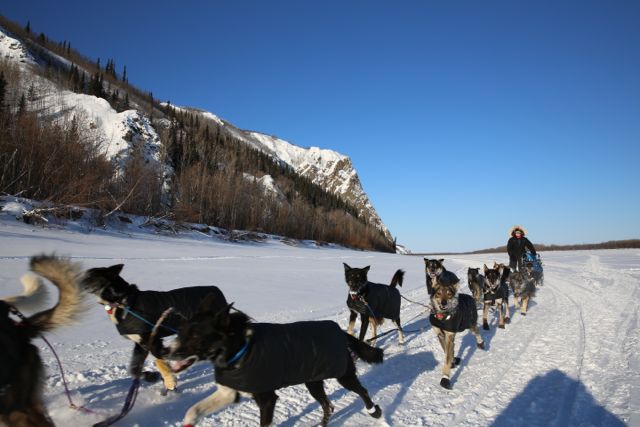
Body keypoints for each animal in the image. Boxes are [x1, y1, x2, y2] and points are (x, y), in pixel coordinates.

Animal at [79, 264, 226, 394]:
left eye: (90, 276)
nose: (77, 281)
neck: (122, 301)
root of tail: (217, 290)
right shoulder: (140, 343)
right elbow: (134, 369)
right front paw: (151, 376)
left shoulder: (152, 340)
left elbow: (162, 363)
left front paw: (169, 382)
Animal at [154, 300, 384, 427]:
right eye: (181, 331)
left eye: (196, 335)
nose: (165, 351)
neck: (240, 347)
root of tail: (340, 332)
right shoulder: (229, 392)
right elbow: (193, 411)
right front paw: (190, 421)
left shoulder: (267, 400)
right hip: (313, 381)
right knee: (328, 405)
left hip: (343, 374)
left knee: (362, 391)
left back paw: (374, 411)